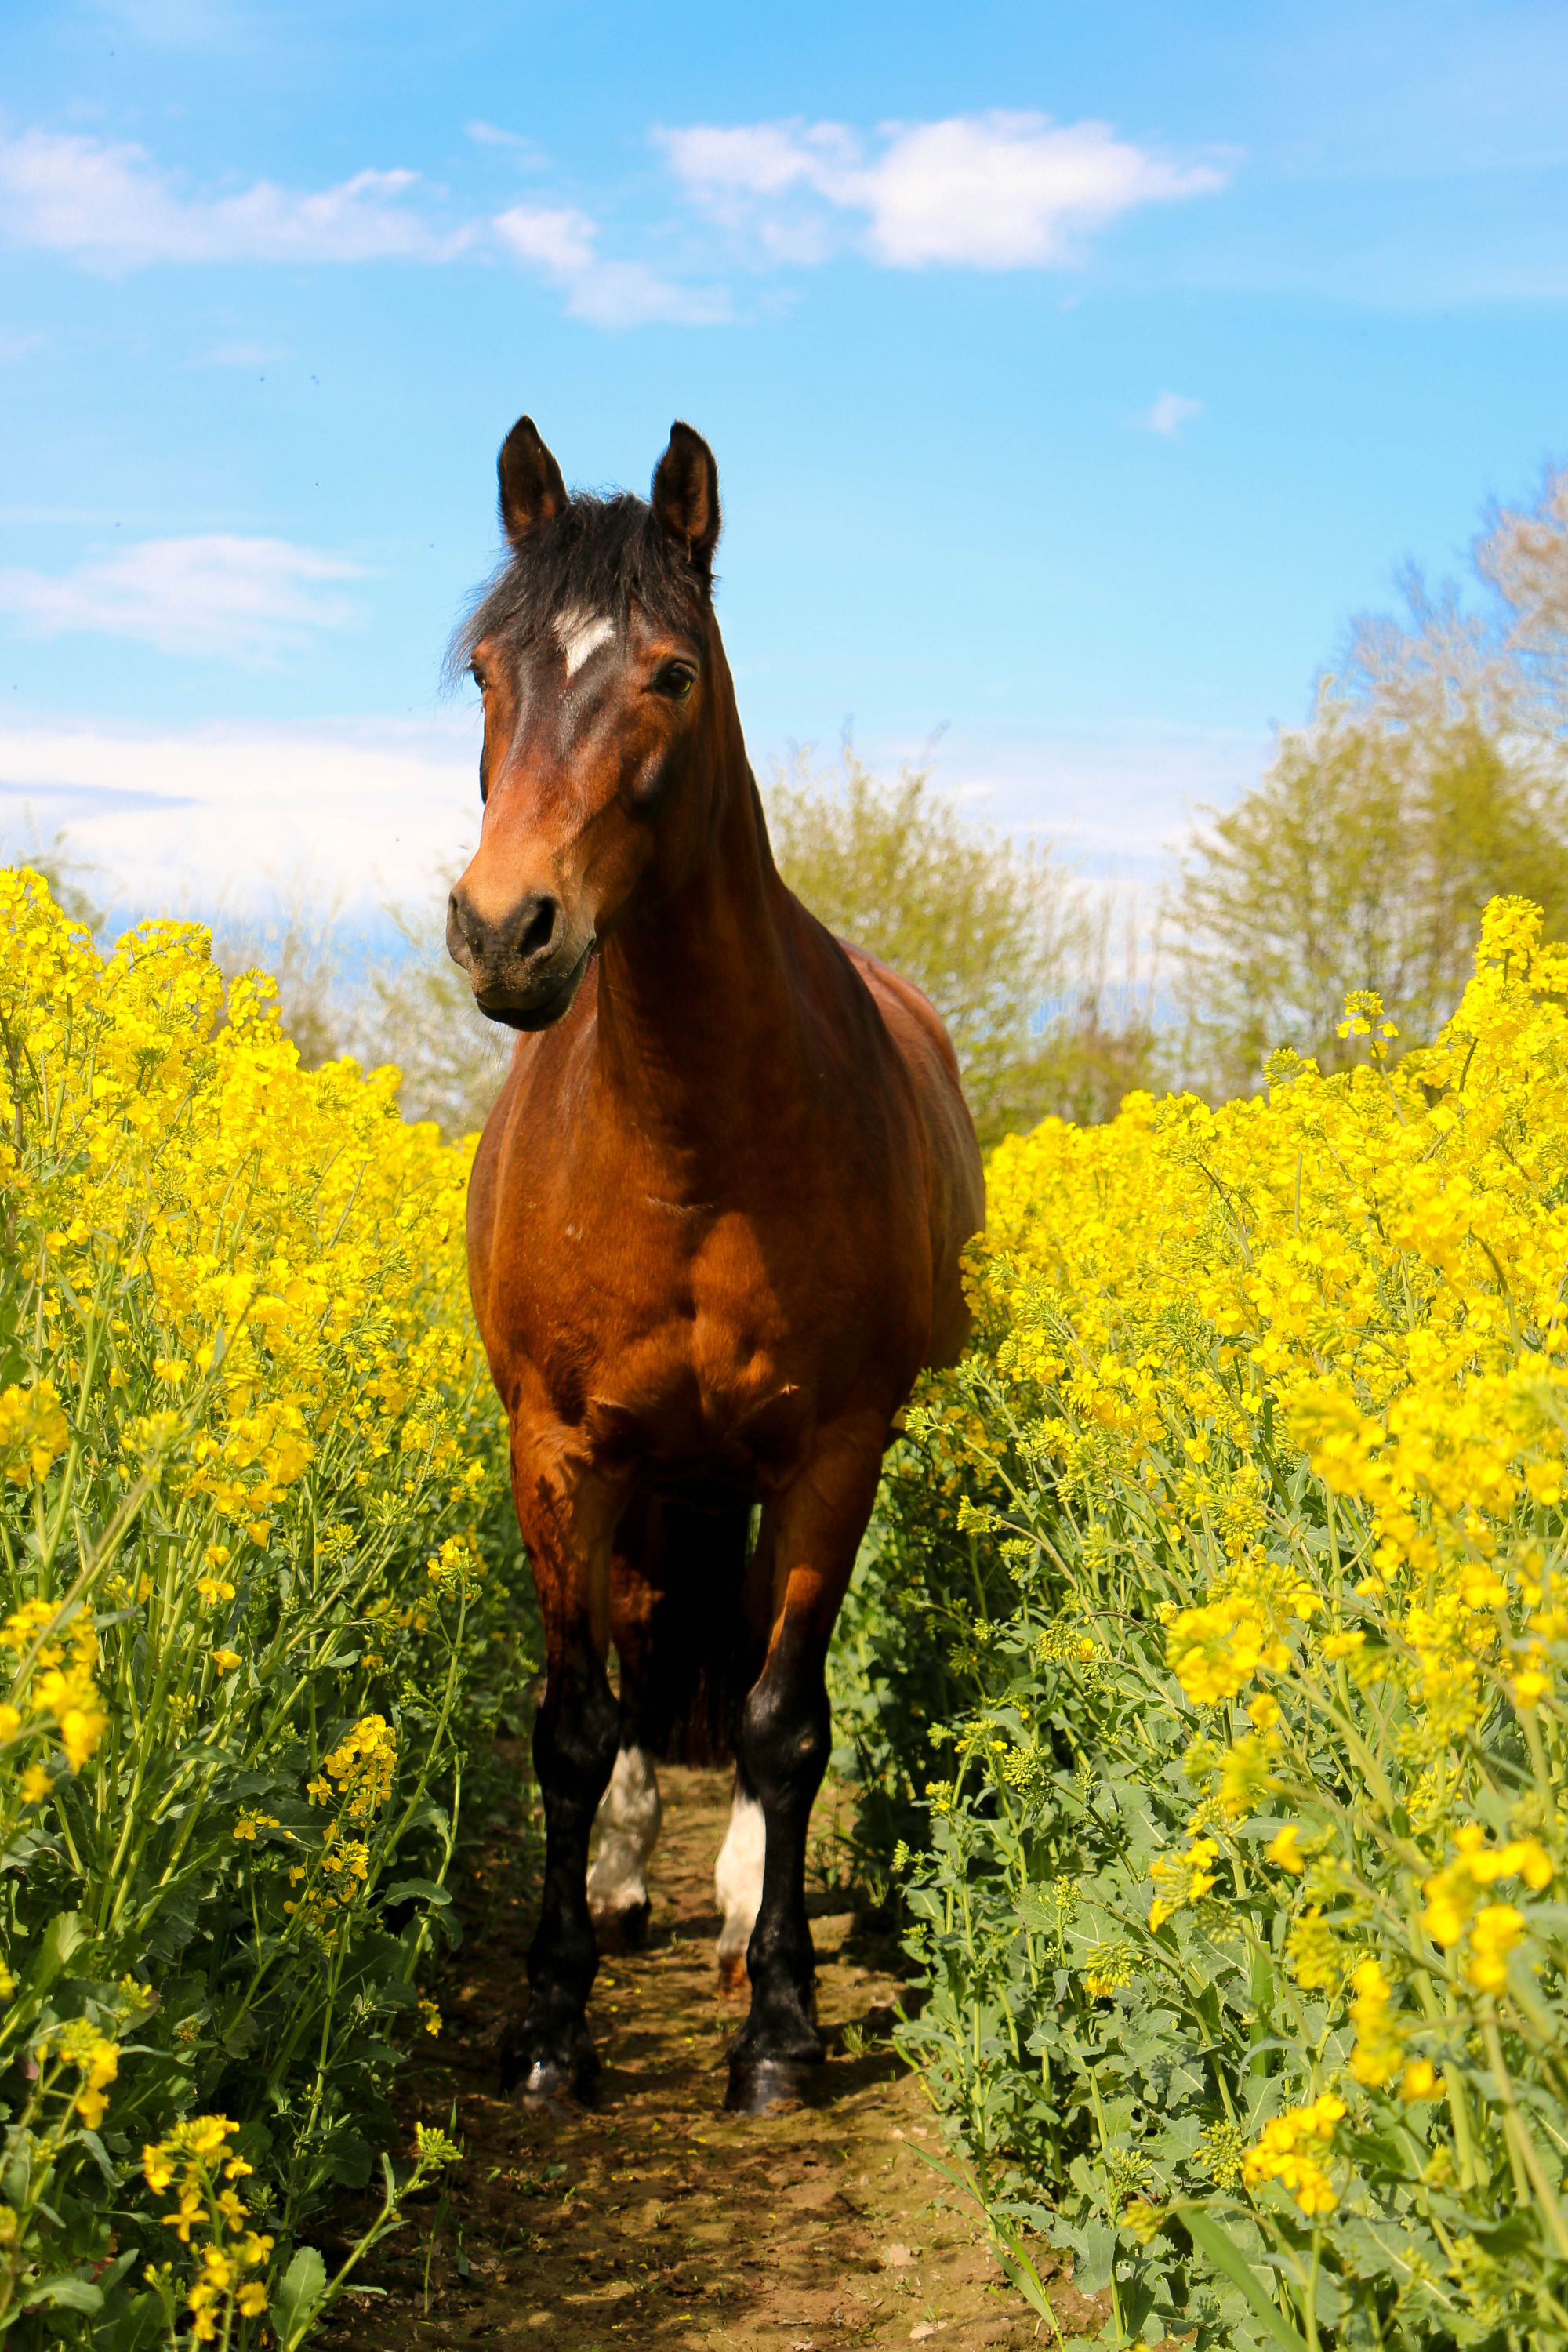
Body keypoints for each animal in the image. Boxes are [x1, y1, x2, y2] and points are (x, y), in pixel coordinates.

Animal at [447, 414, 984, 2115]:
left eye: (671, 673)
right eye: (486, 670)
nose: (504, 930)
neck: (688, 1135)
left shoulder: (830, 1451)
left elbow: (782, 1720)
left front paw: (783, 2026)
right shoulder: (558, 1445)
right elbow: (571, 1720)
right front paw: (552, 2024)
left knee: (741, 1663)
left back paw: (747, 1906)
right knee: (633, 1646)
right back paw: (627, 1883)